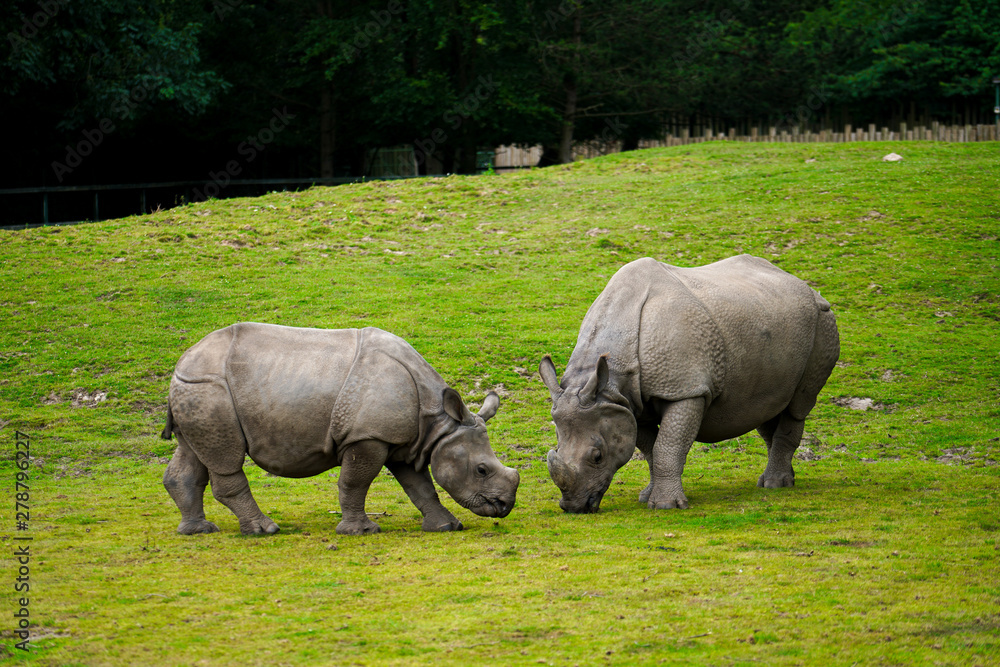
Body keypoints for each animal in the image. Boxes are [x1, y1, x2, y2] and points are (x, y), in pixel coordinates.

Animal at [162, 323, 519, 535]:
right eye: (482, 469)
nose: (505, 507)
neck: (440, 422)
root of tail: (182, 360)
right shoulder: (368, 436)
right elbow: (355, 482)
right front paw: (361, 531)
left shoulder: (407, 441)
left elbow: (419, 486)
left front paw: (446, 527)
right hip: (210, 389)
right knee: (226, 458)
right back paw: (265, 530)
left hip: (196, 388)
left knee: (193, 451)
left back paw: (198, 530)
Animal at [540, 255, 839, 513]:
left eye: (598, 456)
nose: (573, 507)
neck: (611, 380)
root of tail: (805, 286)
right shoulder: (628, 404)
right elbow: (650, 447)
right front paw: (647, 497)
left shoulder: (685, 390)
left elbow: (667, 445)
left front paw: (665, 506)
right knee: (770, 406)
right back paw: (781, 479)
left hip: (823, 320)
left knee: (798, 404)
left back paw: (775, 485)